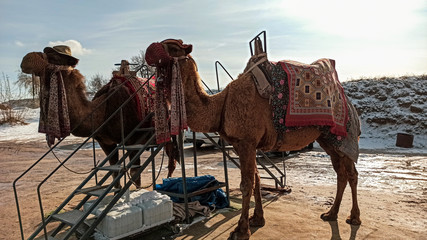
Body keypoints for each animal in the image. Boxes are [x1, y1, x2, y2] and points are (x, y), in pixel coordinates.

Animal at [20, 46, 179, 188]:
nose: (25, 60)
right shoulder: (106, 143)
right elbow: (115, 173)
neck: (102, 112)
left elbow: (135, 175)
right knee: (172, 156)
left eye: (53, 55)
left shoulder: (133, 141)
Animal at [146, 39, 362, 238]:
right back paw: (331, 214)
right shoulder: (244, 144)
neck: (221, 106)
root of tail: (350, 105)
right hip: (328, 139)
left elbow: (246, 184)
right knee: (341, 173)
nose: (149, 51)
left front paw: (241, 230)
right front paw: (257, 219)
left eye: (173, 47)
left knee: (351, 173)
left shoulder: (247, 141)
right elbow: (257, 179)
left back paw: (354, 217)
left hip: (343, 135)